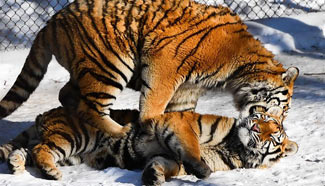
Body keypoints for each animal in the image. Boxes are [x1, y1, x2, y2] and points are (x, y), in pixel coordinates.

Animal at [0, 0, 298, 137]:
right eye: (283, 108)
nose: (278, 125)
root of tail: (50, 22)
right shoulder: (164, 65)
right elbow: (154, 102)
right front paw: (150, 123)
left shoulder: (187, 88)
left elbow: (181, 113)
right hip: (109, 64)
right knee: (90, 106)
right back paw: (121, 130)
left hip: (89, 68)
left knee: (67, 94)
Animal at [0, 106, 298, 186]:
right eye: (263, 119)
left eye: (274, 135)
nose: (255, 128)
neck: (236, 147)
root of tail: (46, 114)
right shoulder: (183, 123)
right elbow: (191, 149)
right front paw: (203, 171)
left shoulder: (172, 156)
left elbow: (166, 164)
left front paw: (153, 176)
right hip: (73, 138)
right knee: (40, 150)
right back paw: (50, 173)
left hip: (65, 147)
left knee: (24, 150)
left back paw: (16, 167)